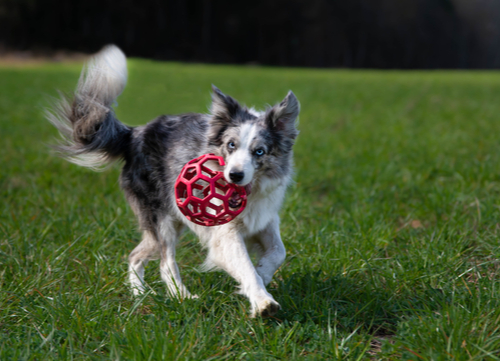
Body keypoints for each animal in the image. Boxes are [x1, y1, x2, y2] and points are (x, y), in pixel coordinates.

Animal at [47, 44, 298, 316]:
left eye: (259, 151)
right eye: (231, 145)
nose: (235, 175)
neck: (251, 192)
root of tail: (134, 134)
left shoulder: (265, 218)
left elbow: (279, 252)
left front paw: (263, 274)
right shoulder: (224, 233)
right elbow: (245, 266)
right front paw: (263, 301)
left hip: (173, 218)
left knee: (135, 254)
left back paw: (140, 295)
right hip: (162, 218)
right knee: (165, 264)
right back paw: (182, 297)